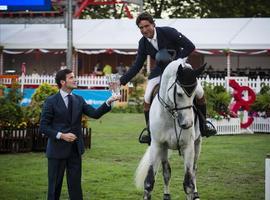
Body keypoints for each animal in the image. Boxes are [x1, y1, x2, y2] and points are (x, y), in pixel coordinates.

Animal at [135, 58, 205, 200]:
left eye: (194, 95)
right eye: (179, 94)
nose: (188, 124)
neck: (171, 115)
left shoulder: (188, 147)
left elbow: (188, 183)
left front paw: (192, 192)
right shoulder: (157, 145)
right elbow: (149, 182)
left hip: (197, 143)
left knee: (194, 170)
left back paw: (196, 194)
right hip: (164, 148)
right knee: (167, 172)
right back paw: (166, 195)